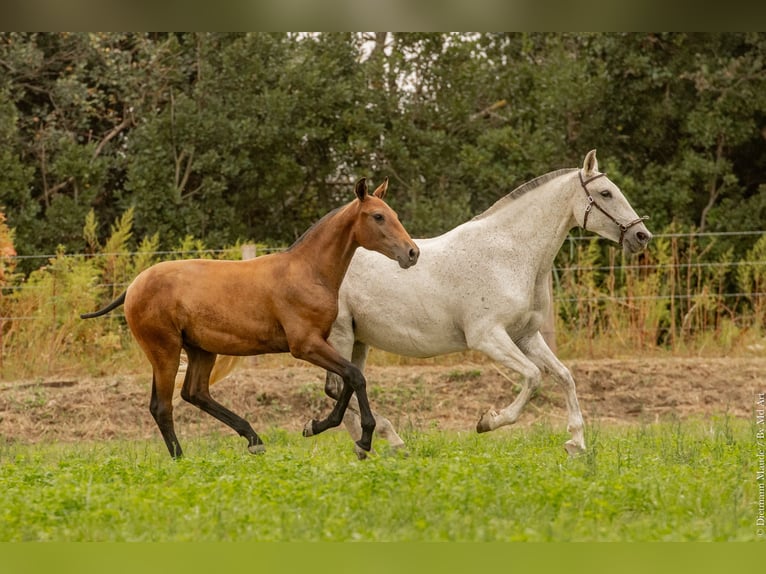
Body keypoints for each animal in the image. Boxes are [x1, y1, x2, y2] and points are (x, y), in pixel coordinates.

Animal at [320, 151, 652, 456]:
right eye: (606, 193)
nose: (642, 235)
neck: (509, 255)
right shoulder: (488, 337)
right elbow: (533, 377)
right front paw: (488, 421)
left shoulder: (526, 336)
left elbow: (564, 376)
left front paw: (576, 443)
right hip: (341, 336)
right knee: (340, 387)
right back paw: (386, 441)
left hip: (359, 340)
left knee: (344, 386)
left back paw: (368, 448)